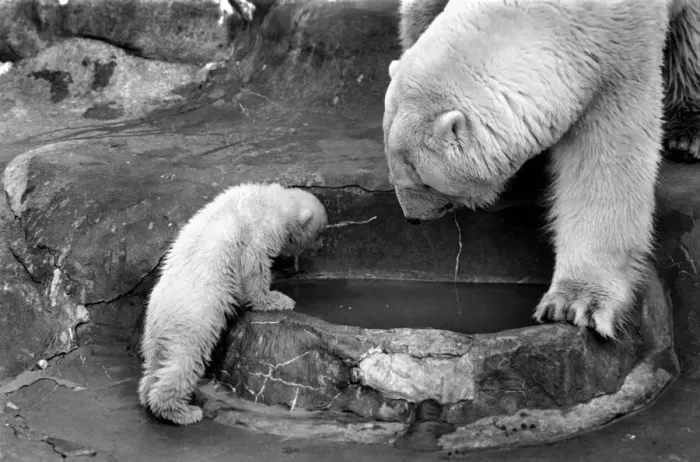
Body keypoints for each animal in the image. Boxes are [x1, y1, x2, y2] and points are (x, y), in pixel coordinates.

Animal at [138, 183, 327, 425]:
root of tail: (157, 316)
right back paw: (183, 412)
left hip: (154, 332)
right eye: (321, 232)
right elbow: (254, 266)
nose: (321, 248)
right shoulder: (259, 232)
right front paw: (277, 299)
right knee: (185, 359)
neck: (272, 200)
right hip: (194, 319)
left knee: (156, 362)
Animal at [384, 0, 677, 339]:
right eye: (394, 171)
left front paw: (575, 304)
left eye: (425, 182)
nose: (412, 218)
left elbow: (607, 161)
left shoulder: (623, 52)